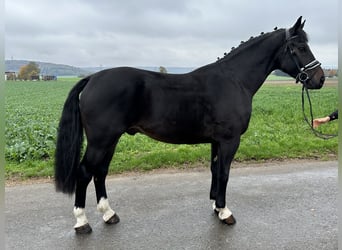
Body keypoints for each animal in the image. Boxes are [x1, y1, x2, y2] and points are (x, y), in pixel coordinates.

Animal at [54, 16, 324, 233]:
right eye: (301, 47)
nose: (319, 79)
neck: (234, 80)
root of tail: (92, 78)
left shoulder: (217, 142)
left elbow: (215, 171)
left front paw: (216, 206)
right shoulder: (229, 141)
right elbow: (225, 173)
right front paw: (225, 212)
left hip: (110, 141)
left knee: (100, 172)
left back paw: (109, 214)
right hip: (101, 141)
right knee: (85, 173)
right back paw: (82, 222)